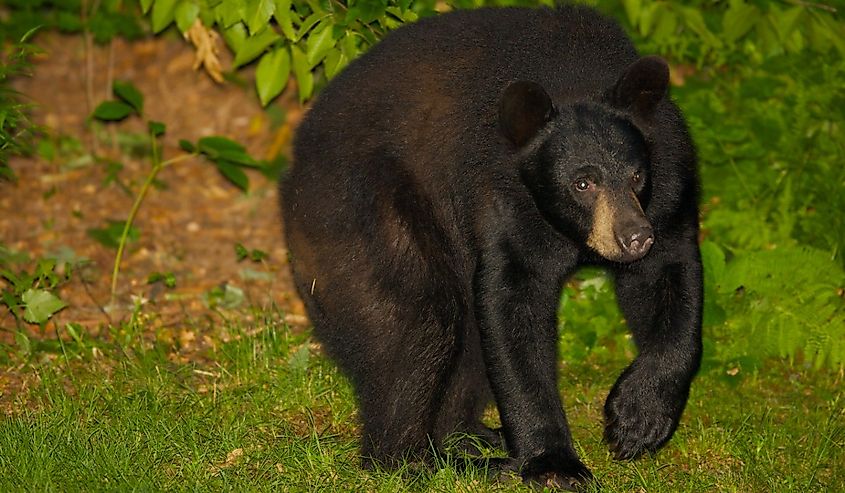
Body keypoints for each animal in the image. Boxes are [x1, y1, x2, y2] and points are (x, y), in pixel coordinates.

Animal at [281, 5, 702, 489]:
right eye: (583, 183)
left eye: (636, 176)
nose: (634, 237)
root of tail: (294, 169)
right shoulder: (503, 196)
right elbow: (512, 303)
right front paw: (555, 463)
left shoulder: (668, 185)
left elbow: (669, 275)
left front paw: (637, 419)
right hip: (354, 213)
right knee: (421, 319)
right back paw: (423, 459)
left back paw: (468, 438)